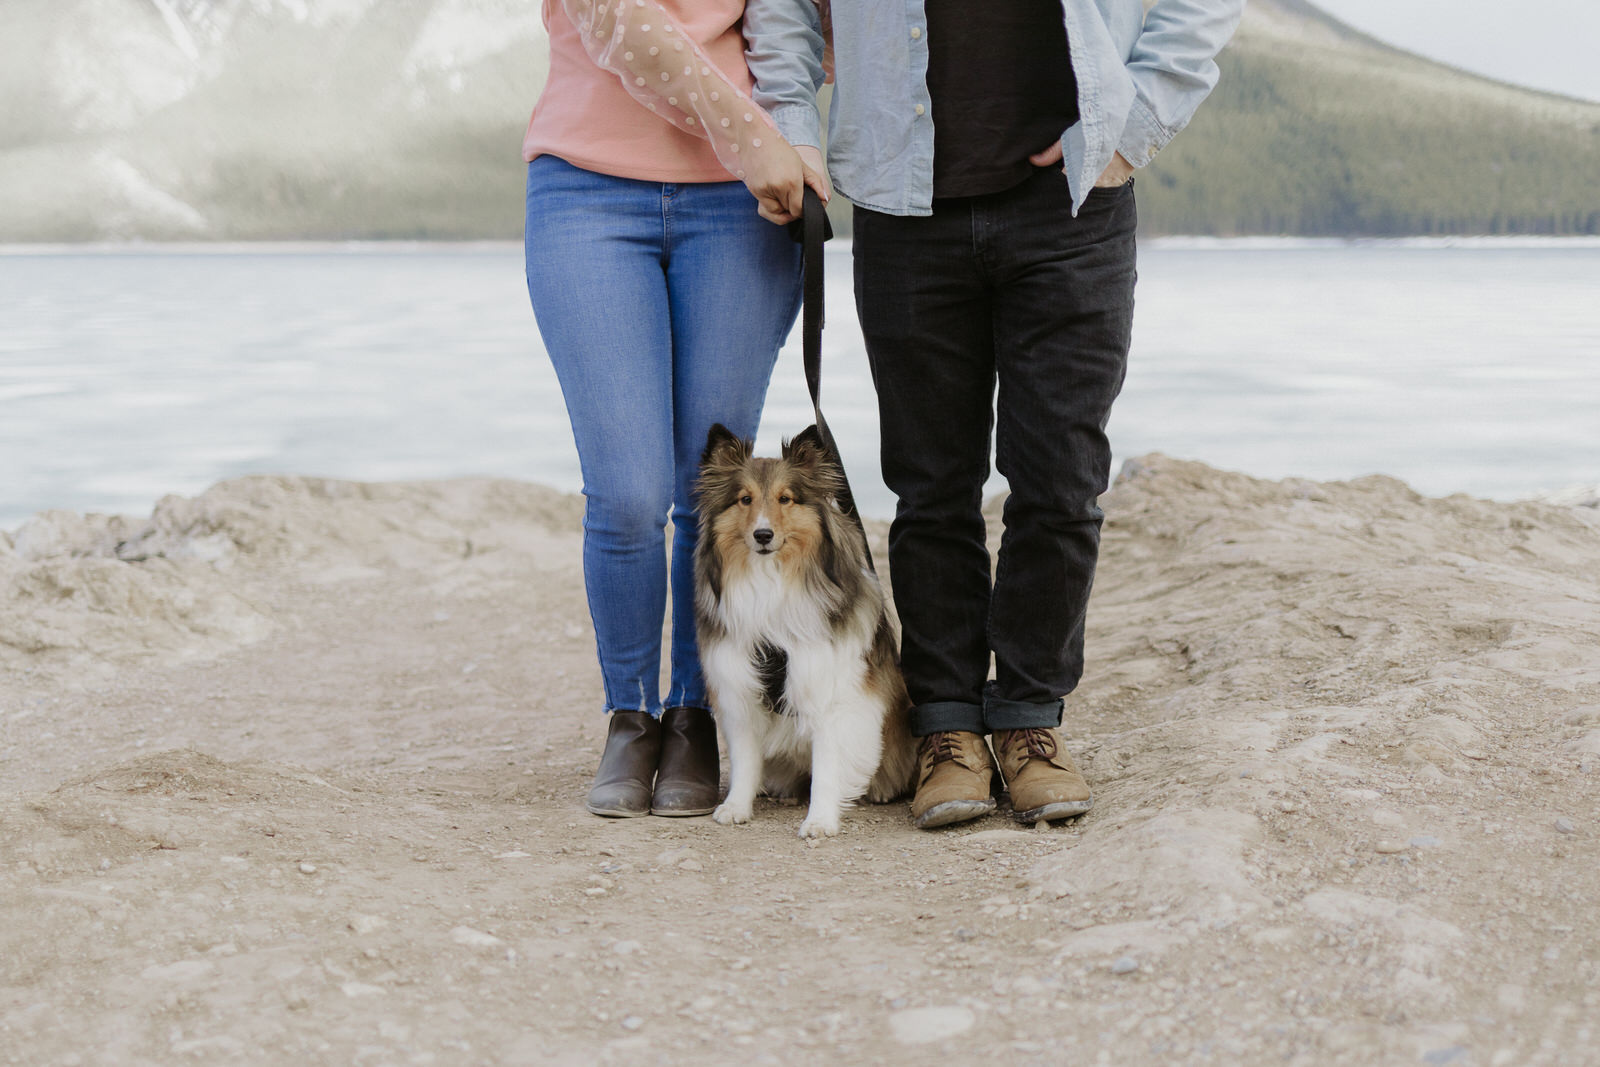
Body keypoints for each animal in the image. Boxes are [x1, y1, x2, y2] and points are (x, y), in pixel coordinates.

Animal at [691, 422, 915, 838]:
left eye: (786, 499)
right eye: (744, 499)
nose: (763, 536)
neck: (771, 581)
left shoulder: (830, 688)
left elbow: (828, 765)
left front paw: (820, 819)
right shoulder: (739, 686)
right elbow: (745, 758)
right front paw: (736, 806)